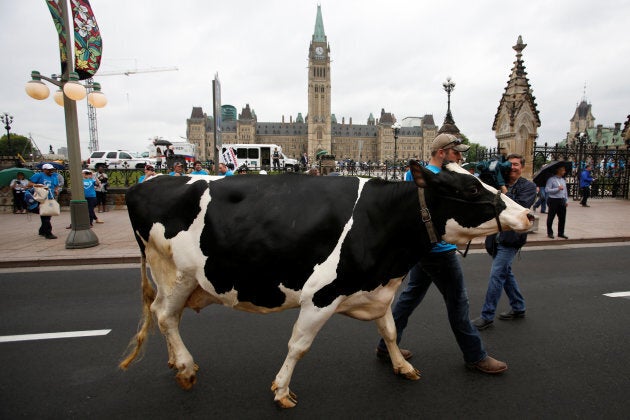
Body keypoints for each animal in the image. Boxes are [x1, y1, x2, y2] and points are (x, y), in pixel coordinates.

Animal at [118, 160, 532, 406]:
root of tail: (144, 184)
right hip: (177, 275)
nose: (528, 214)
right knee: (164, 315)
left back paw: (176, 362)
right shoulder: (320, 296)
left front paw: (402, 366)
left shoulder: (376, 291)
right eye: (471, 189)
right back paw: (186, 368)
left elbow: (391, 330)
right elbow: (299, 345)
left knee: (165, 317)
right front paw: (282, 390)